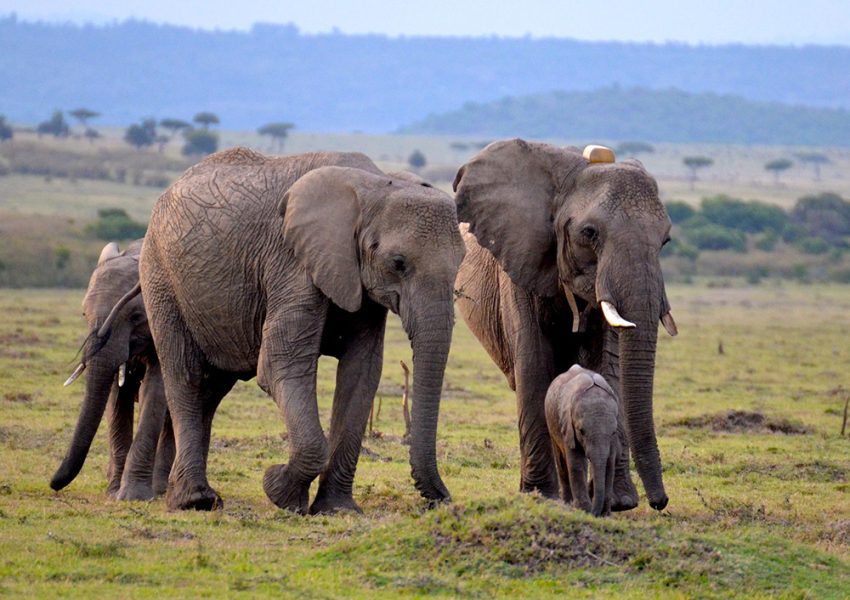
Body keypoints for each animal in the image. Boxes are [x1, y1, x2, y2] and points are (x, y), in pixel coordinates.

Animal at [51, 241, 175, 500]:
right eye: (84, 314)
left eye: (137, 316)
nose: (53, 485)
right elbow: (117, 397)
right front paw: (113, 493)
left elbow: (154, 392)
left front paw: (133, 496)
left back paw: (160, 489)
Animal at [132, 147, 464, 513]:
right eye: (398, 263)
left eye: (462, 263)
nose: (441, 499)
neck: (375, 184)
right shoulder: (291, 261)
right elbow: (281, 363)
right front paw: (279, 489)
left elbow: (361, 373)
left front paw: (336, 509)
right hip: (160, 276)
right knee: (186, 377)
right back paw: (195, 501)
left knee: (212, 389)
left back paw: (195, 495)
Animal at [545, 364, 620, 517]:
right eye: (581, 431)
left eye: (614, 432)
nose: (595, 513)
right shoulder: (567, 426)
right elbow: (576, 463)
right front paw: (584, 510)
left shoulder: (613, 439)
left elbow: (609, 463)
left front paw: (605, 514)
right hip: (552, 421)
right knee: (561, 460)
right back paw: (567, 504)